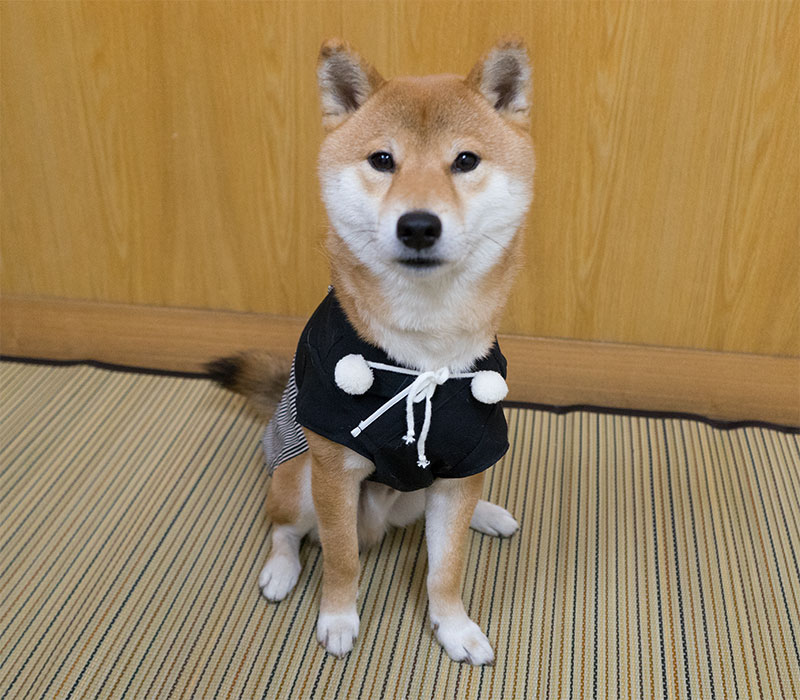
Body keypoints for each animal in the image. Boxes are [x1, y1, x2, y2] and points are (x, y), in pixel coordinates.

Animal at [209, 39, 536, 668]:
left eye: (465, 161)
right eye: (383, 160)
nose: (418, 226)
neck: (424, 351)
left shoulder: (470, 453)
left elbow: (446, 569)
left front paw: (454, 627)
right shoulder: (335, 471)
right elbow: (341, 559)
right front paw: (338, 619)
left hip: (441, 486)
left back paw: (486, 513)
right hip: (298, 477)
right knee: (284, 528)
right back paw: (281, 571)